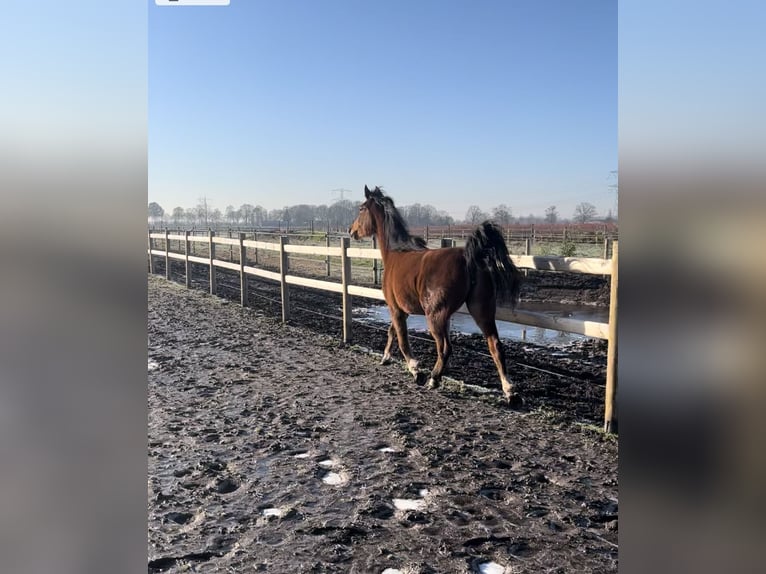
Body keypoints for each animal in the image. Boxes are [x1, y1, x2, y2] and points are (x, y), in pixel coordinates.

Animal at [352, 187, 524, 402]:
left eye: (361, 208)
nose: (351, 231)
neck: (396, 253)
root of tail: (468, 256)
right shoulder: (403, 310)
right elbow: (392, 331)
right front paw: (385, 358)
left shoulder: (396, 308)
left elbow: (402, 339)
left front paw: (416, 370)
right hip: (481, 311)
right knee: (495, 345)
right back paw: (510, 390)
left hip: (435, 316)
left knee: (445, 348)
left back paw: (433, 379)